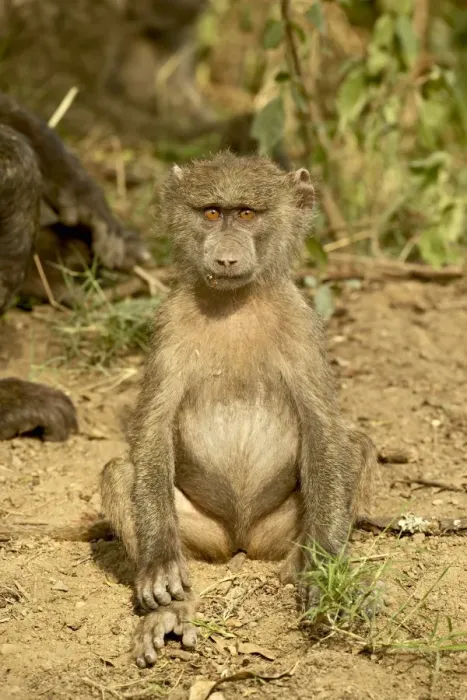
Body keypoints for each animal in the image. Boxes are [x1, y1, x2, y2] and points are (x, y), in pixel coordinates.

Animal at [96, 151, 377, 667]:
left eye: (246, 214)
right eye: (212, 213)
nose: (226, 258)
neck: (235, 303)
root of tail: (241, 542)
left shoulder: (302, 325)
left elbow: (325, 431)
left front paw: (324, 566)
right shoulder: (170, 324)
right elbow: (152, 431)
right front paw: (160, 567)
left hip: (277, 531)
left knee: (356, 447)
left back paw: (302, 569)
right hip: (204, 536)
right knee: (120, 473)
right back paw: (170, 610)